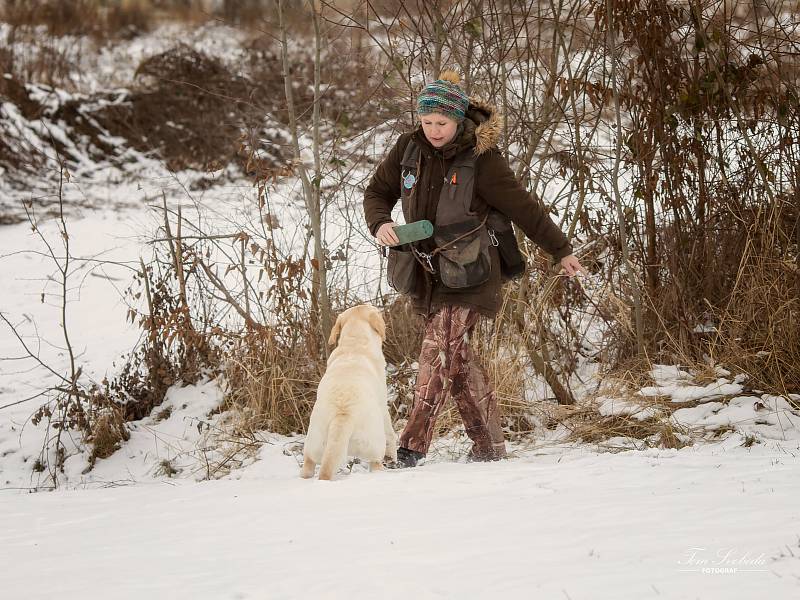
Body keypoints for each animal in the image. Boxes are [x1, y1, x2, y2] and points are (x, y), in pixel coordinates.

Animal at [300, 302, 396, 480]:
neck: (354, 344)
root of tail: (343, 414)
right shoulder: (383, 403)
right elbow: (391, 432)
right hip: (374, 445)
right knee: (376, 463)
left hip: (313, 445)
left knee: (308, 465)